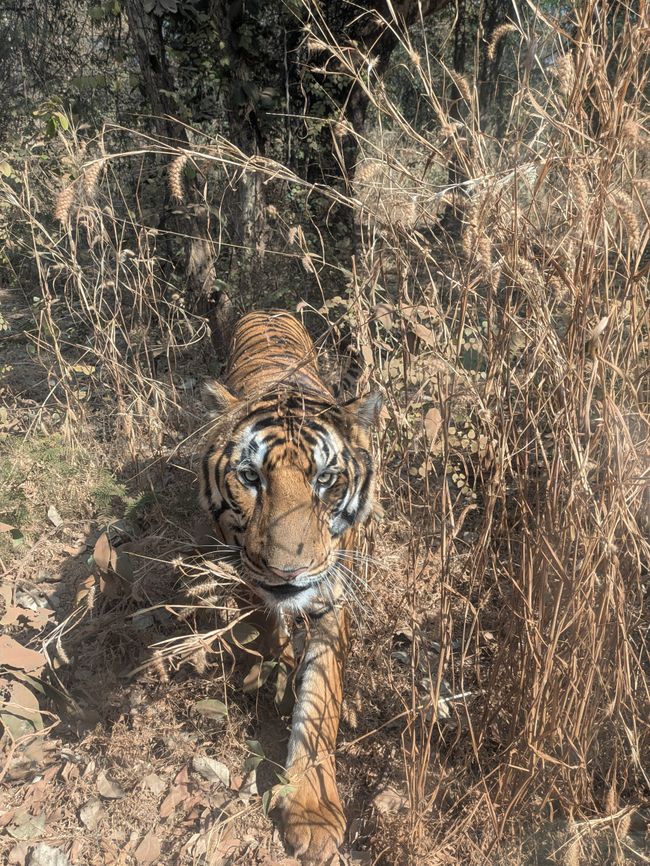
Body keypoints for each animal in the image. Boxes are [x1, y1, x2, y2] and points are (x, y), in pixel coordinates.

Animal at [200, 310, 381, 865]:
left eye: (325, 479)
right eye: (249, 476)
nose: (287, 571)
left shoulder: (334, 592)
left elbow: (321, 697)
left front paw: (313, 813)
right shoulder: (246, 571)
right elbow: (266, 627)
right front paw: (275, 673)